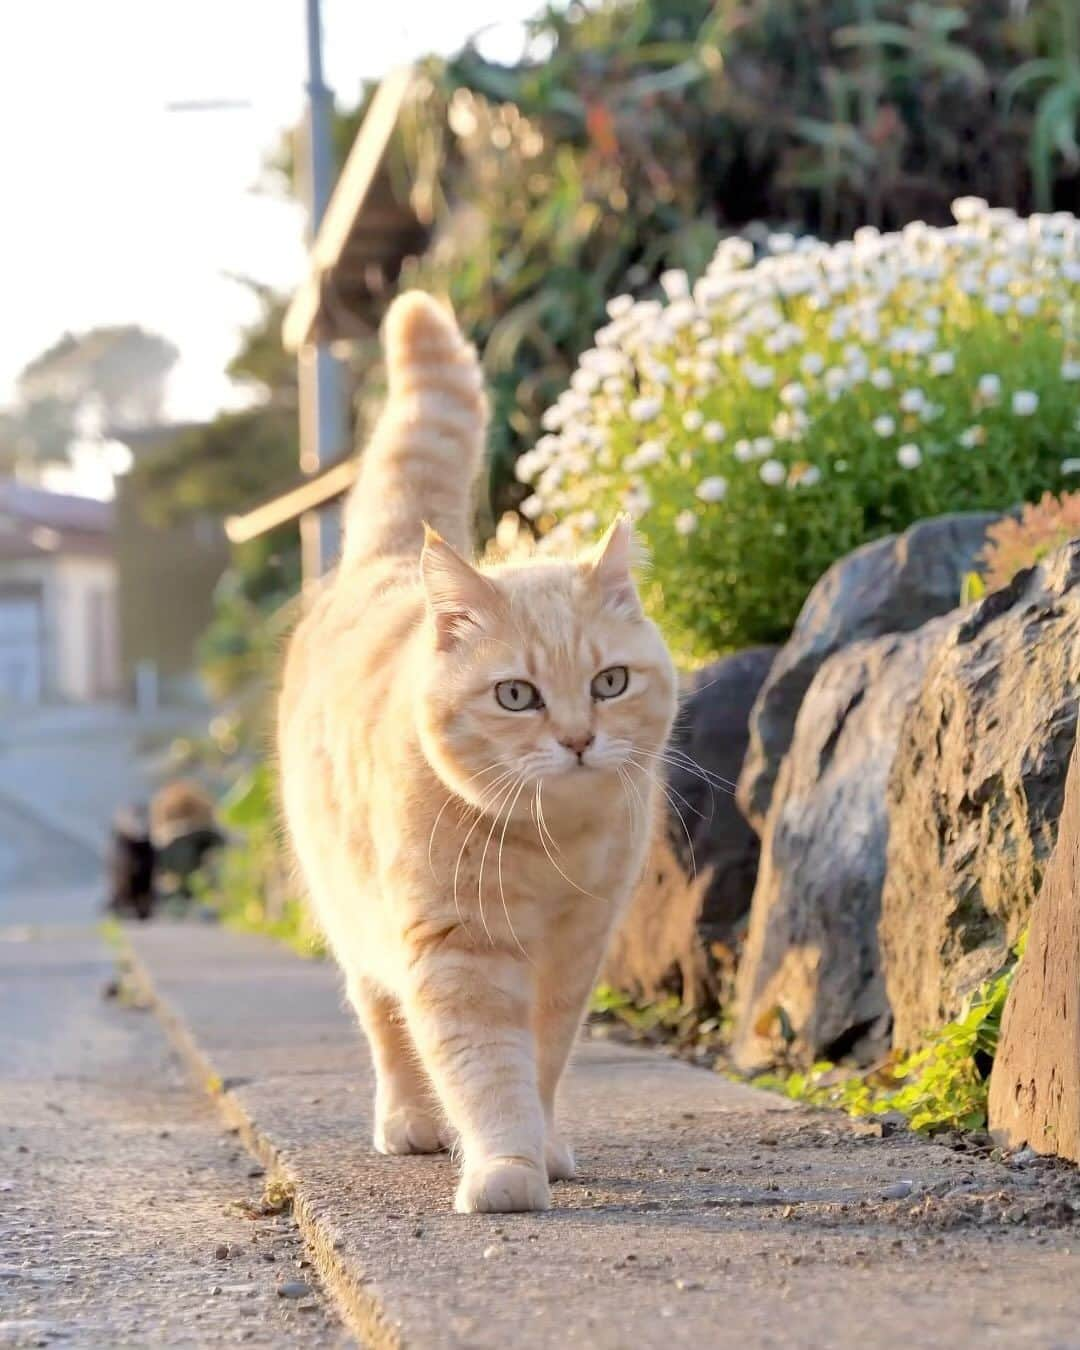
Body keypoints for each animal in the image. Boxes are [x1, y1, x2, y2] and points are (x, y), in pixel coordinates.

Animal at [282, 292, 680, 1215]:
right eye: (516, 696)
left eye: (610, 682)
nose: (577, 739)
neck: (550, 848)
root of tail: (392, 557)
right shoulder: (457, 951)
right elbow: (485, 1070)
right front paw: (504, 1166)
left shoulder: (575, 953)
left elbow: (543, 1060)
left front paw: (542, 1146)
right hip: (356, 922)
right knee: (386, 1026)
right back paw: (411, 1121)